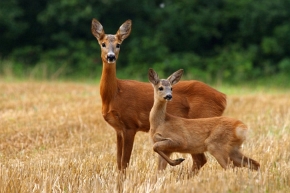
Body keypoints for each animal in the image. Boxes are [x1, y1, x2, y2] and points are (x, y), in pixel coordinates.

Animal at [92, 18, 228, 171]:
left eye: (118, 44)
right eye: (103, 44)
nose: (111, 56)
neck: (114, 94)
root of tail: (223, 97)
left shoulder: (130, 125)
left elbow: (125, 162)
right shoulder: (119, 129)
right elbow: (119, 164)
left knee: (201, 159)